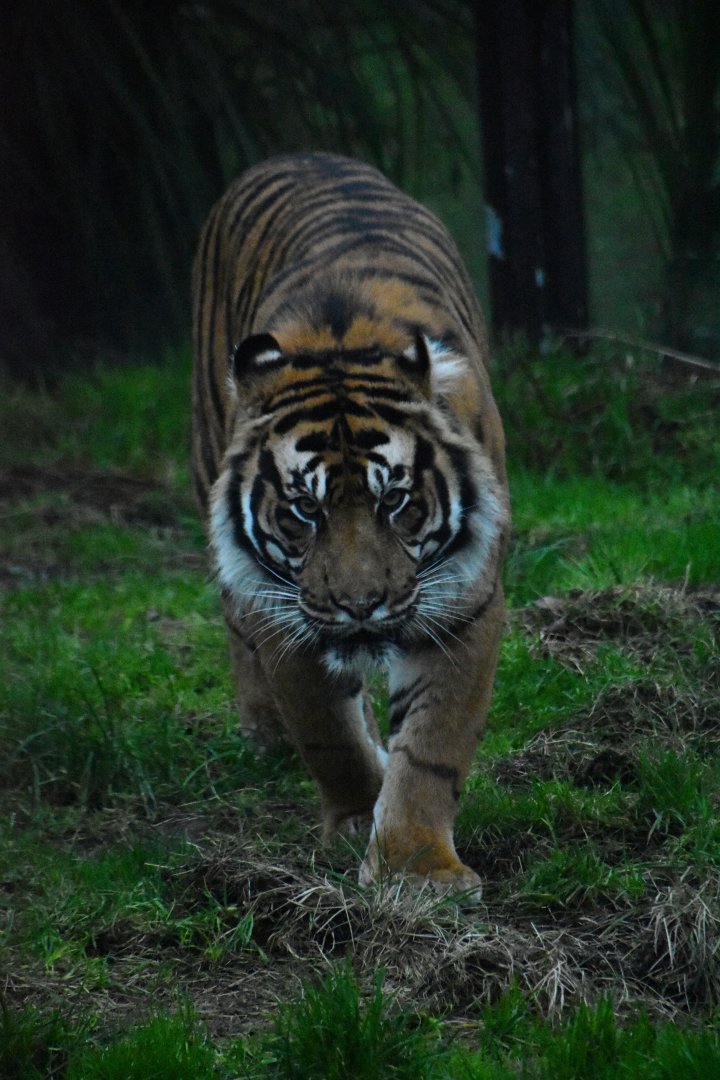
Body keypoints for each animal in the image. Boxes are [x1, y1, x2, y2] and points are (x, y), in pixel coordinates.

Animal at [192, 152, 510, 896]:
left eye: (395, 501)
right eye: (305, 510)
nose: (360, 606)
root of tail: (297, 154)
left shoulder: (464, 602)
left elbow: (432, 747)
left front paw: (416, 868)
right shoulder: (284, 607)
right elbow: (327, 733)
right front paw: (358, 819)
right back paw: (263, 731)